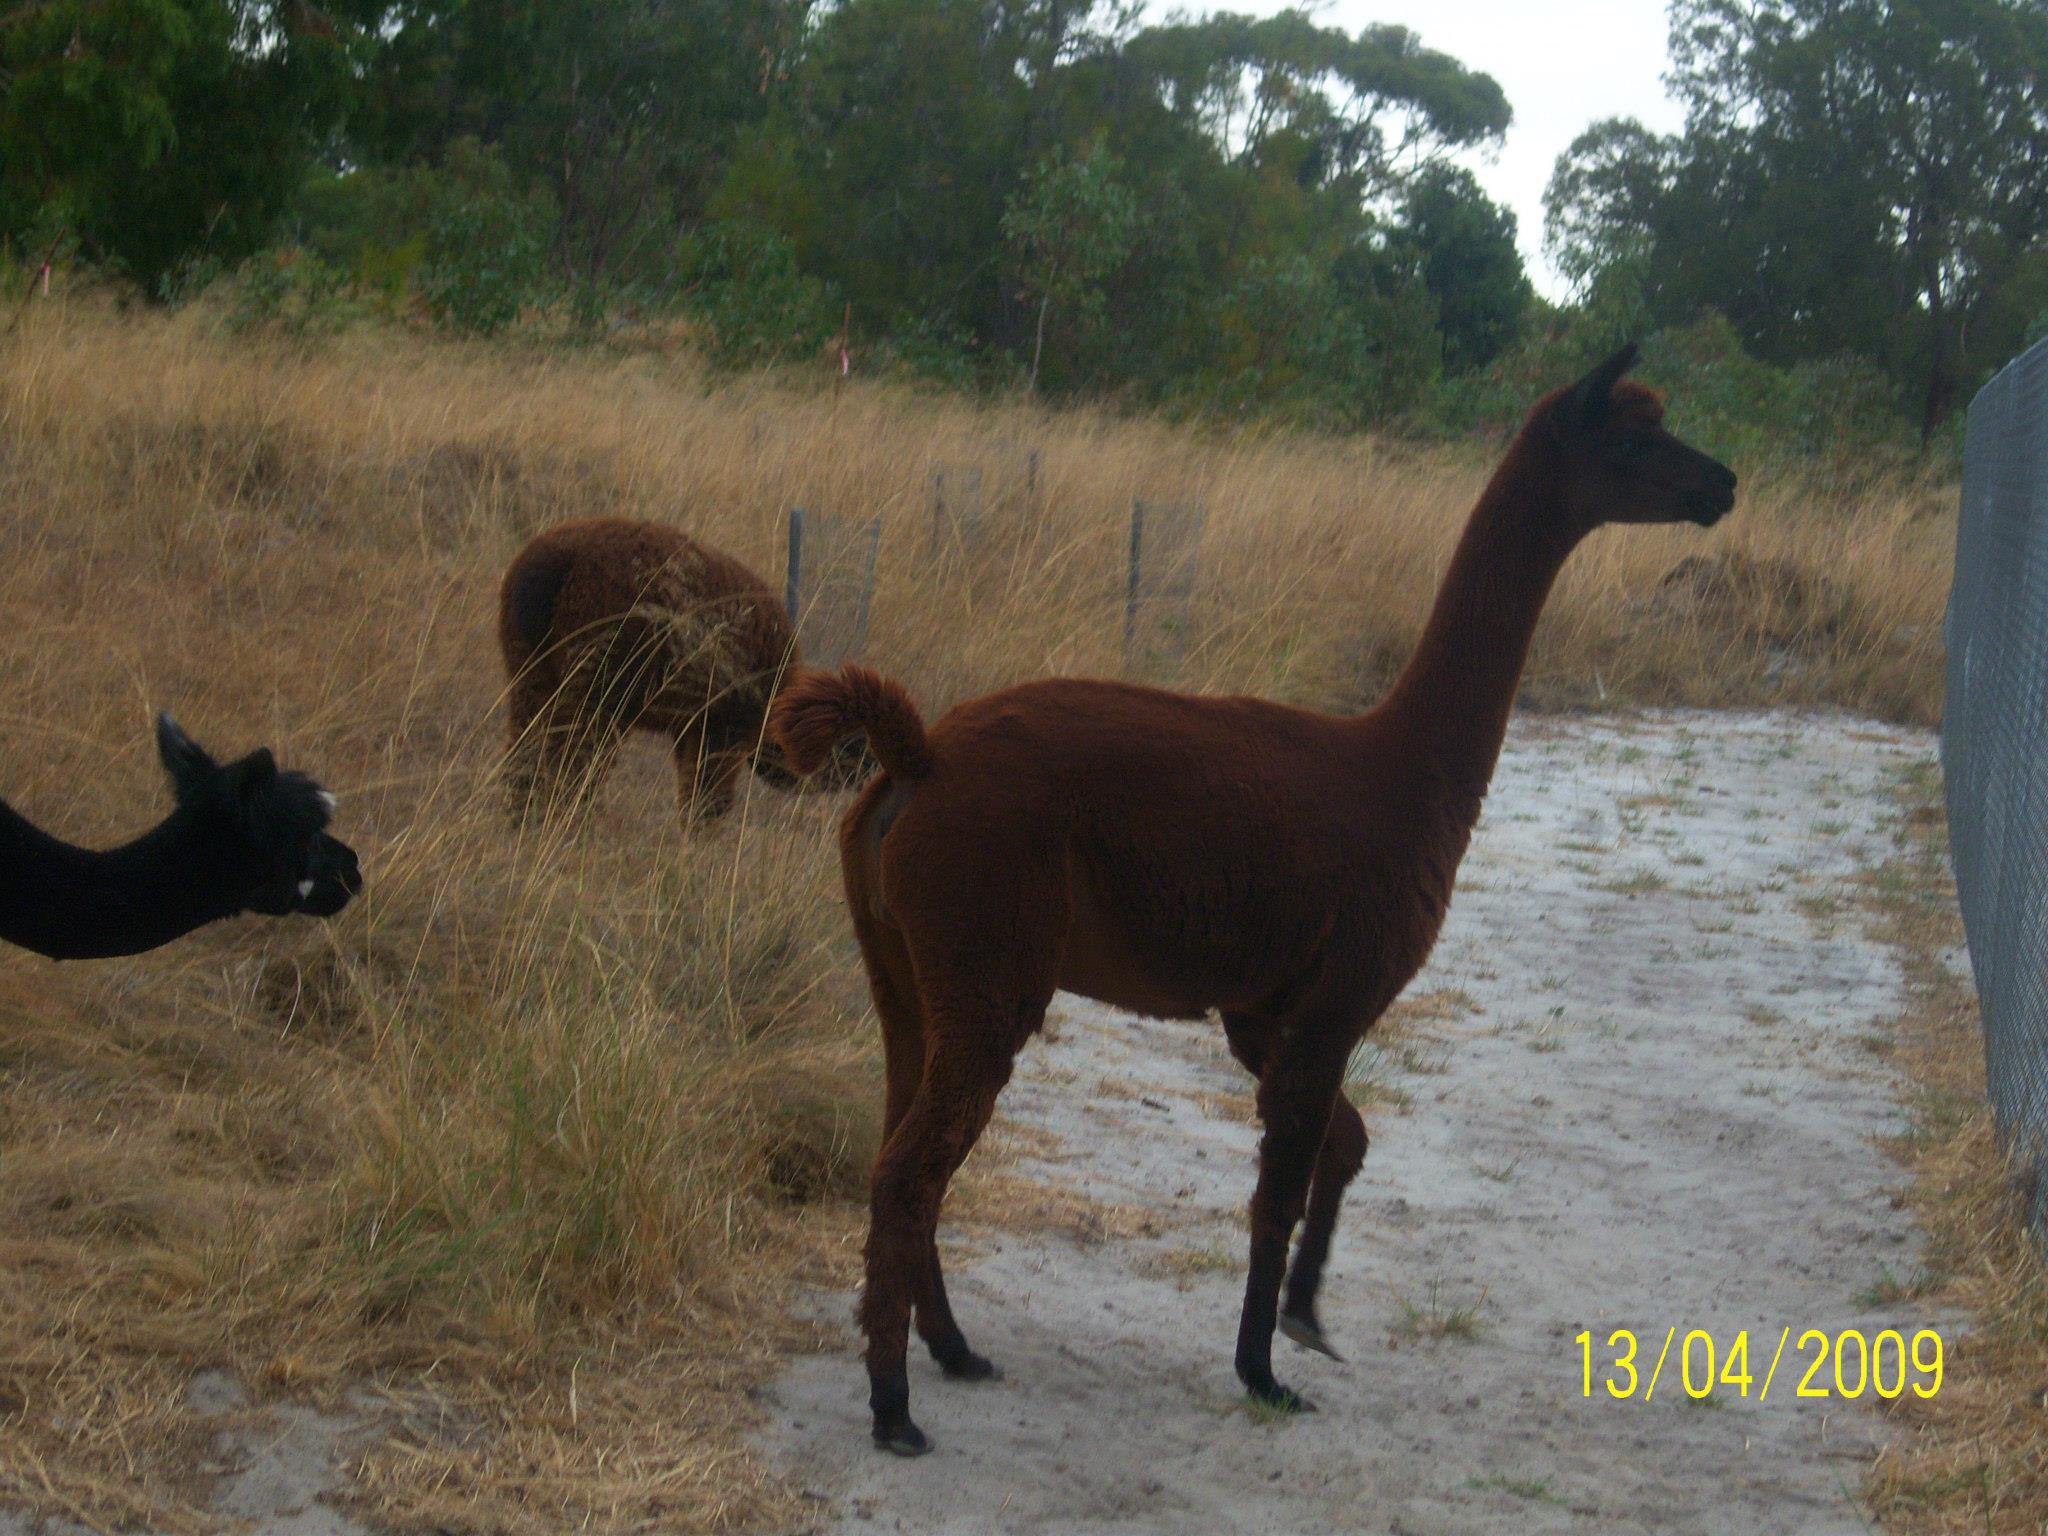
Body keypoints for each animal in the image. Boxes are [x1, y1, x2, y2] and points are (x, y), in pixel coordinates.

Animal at [499, 517, 864, 823]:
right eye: (854, 742)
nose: (867, 772)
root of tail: (560, 564)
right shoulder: (722, 730)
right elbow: (706, 807)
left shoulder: (692, 730)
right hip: (596, 697)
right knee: (573, 766)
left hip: (533, 681)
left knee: (525, 760)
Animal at [768, 345, 1739, 1454]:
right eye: (1631, 433)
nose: (1721, 483)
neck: (1405, 773)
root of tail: (917, 758)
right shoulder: (1337, 994)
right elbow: (1278, 1188)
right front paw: (1263, 1370)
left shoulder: (1261, 1007)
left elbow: (1344, 1142)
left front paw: (1308, 1314)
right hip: (985, 958)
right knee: (909, 1171)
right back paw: (894, 1408)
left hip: (904, 969)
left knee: (899, 1144)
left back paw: (953, 1350)